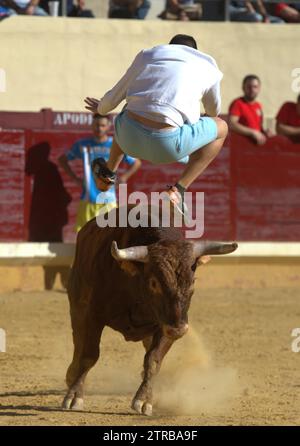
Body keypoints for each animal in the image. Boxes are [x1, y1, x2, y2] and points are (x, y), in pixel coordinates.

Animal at [62, 206, 238, 414]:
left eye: (193, 281)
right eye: (154, 283)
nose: (178, 330)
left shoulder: (165, 325)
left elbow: (153, 360)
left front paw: (145, 399)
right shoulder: (93, 316)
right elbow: (88, 355)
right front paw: (74, 396)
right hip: (77, 307)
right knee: (78, 342)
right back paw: (71, 375)